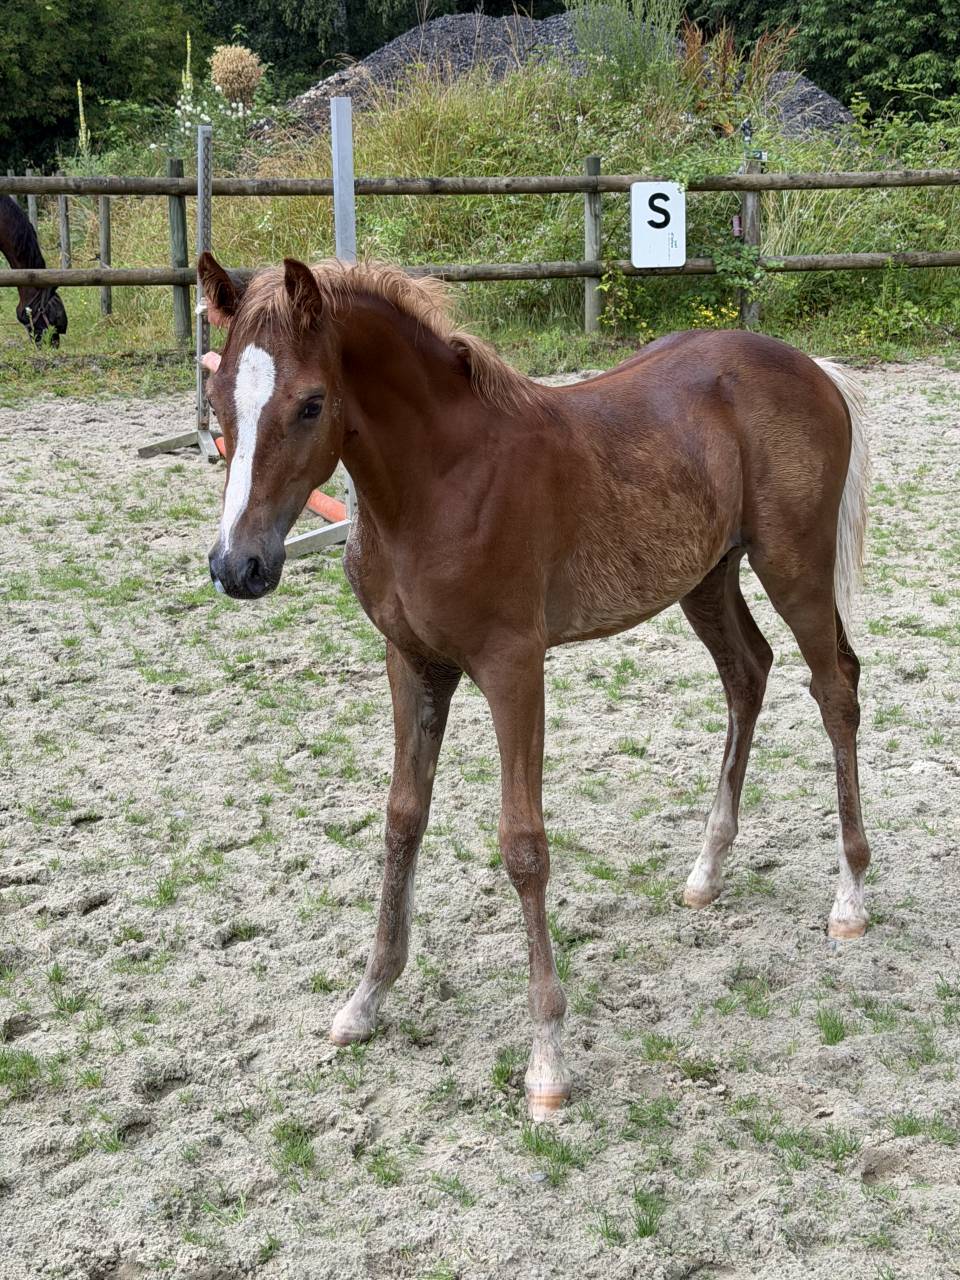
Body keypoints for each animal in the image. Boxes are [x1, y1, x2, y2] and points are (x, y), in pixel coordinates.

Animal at [197, 251, 871, 1121]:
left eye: (311, 404)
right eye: (218, 404)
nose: (237, 566)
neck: (438, 483)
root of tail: (812, 366)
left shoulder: (513, 667)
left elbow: (523, 846)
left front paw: (547, 1056)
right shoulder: (412, 662)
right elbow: (402, 820)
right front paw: (367, 997)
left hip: (794, 566)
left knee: (836, 688)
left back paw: (850, 895)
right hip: (706, 576)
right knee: (748, 673)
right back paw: (707, 870)